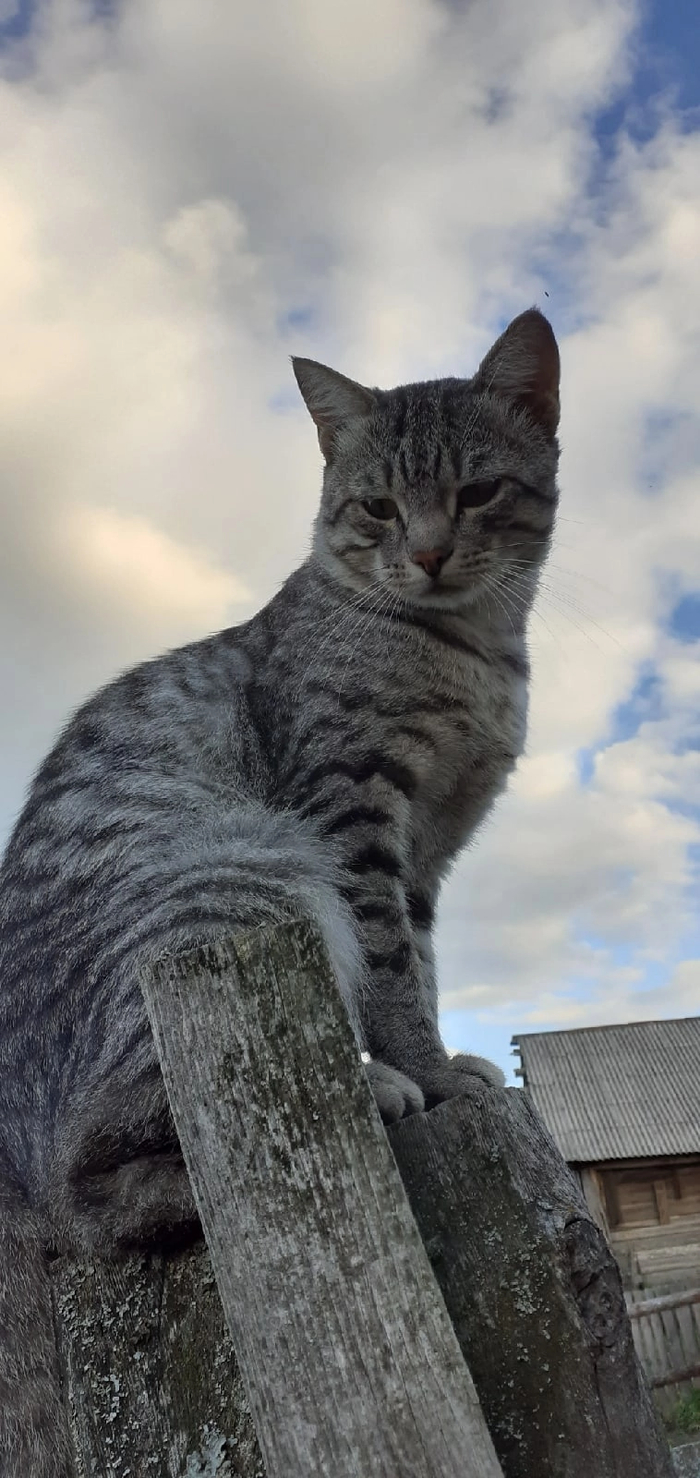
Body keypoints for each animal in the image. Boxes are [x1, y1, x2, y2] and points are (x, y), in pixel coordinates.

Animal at [0, 307, 559, 1475]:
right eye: (378, 506)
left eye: (478, 492)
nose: (427, 553)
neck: (475, 653)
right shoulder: (350, 815)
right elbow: (391, 969)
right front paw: (425, 1073)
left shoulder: (426, 854)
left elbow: (421, 963)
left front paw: (439, 1056)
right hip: (244, 873)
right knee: (99, 1190)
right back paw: (372, 1092)